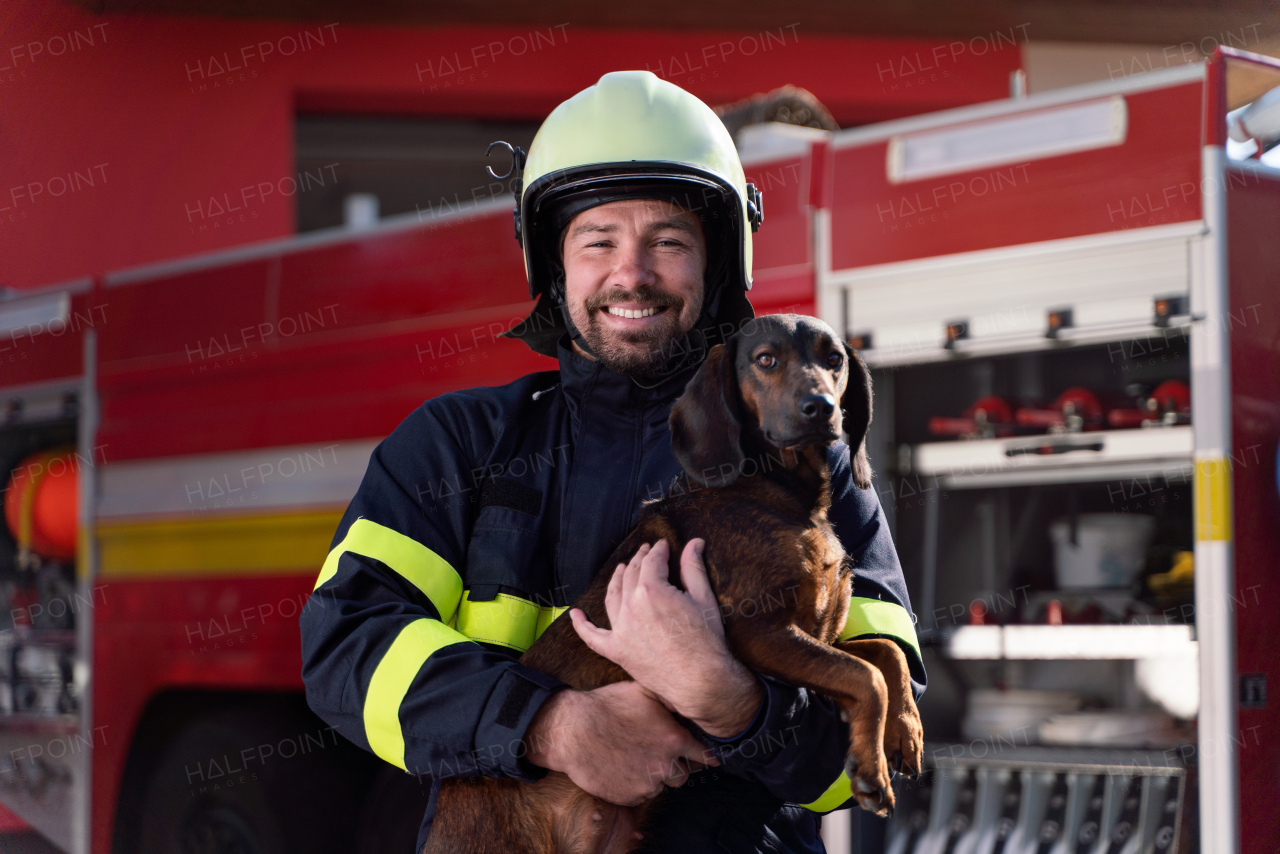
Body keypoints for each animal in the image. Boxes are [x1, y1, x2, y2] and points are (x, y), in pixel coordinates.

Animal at [427, 317, 921, 854]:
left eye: (835, 360)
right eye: (765, 359)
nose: (822, 407)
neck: (780, 496)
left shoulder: (817, 635)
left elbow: (884, 655)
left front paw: (905, 731)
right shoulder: (758, 633)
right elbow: (865, 675)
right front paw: (872, 771)